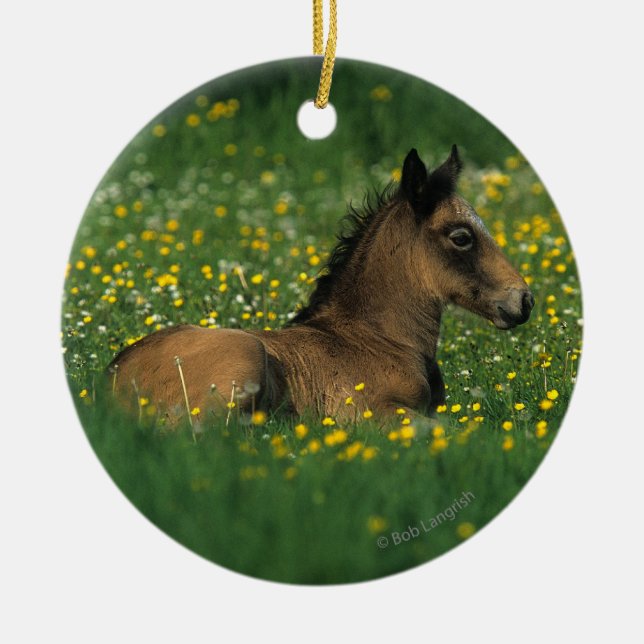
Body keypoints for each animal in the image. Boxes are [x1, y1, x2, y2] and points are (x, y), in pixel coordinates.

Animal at [108, 146, 534, 423]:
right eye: (461, 237)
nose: (524, 299)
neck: (379, 338)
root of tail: (109, 381)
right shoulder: (370, 412)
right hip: (243, 358)